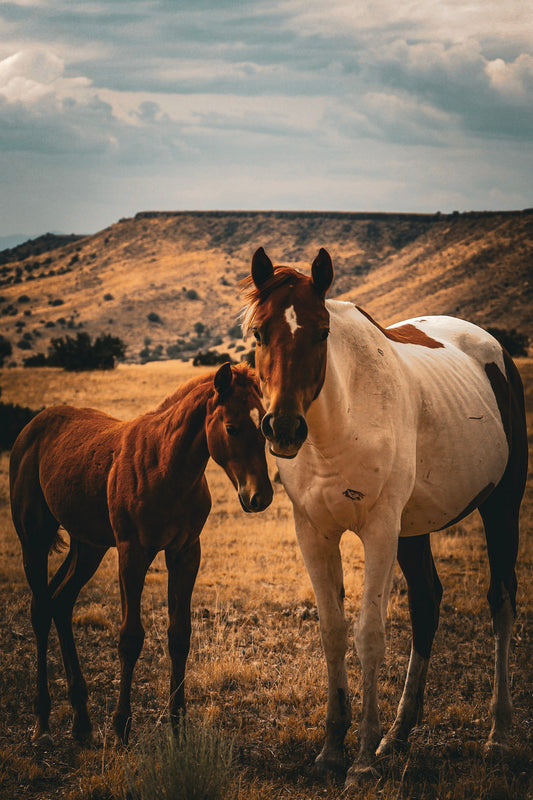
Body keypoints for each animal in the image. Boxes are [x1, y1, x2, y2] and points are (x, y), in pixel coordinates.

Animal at [9, 362, 272, 744]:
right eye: (232, 428)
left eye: (264, 426)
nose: (260, 497)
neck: (164, 465)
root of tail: (33, 427)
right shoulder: (132, 554)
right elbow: (130, 638)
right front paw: (121, 726)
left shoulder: (185, 552)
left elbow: (180, 636)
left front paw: (178, 724)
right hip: (34, 538)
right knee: (42, 610)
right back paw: (42, 722)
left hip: (88, 546)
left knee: (61, 601)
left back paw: (81, 720)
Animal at [242, 248, 528, 788]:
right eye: (259, 333)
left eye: (321, 332)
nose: (284, 428)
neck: (340, 424)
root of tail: (492, 347)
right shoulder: (313, 532)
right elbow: (332, 631)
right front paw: (332, 749)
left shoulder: (378, 530)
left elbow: (369, 634)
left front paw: (360, 761)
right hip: (412, 530)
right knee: (427, 604)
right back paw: (398, 734)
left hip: (500, 506)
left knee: (501, 601)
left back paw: (498, 735)